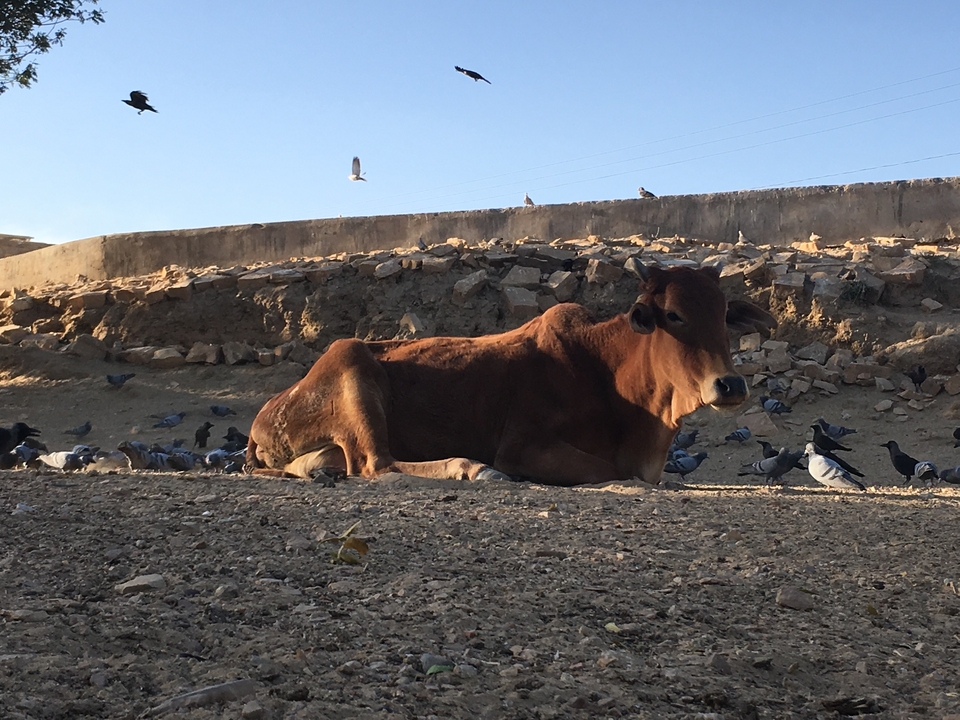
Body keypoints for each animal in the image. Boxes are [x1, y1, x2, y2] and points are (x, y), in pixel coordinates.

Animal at [246, 263, 776, 486]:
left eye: (724, 315)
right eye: (674, 315)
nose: (730, 385)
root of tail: (264, 414)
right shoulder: (523, 445)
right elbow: (614, 472)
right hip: (353, 365)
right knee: (378, 465)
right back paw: (471, 468)